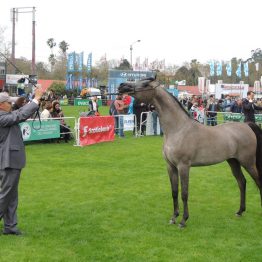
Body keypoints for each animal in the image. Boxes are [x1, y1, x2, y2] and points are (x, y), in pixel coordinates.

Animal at [118, 77, 262, 227]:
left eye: (146, 84)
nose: (122, 86)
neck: (178, 129)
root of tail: (247, 125)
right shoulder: (171, 166)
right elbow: (174, 192)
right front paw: (174, 217)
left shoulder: (183, 166)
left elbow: (184, 193)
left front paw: (183, 220)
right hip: (233, 162)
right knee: (242, 182)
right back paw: (240, 211)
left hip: (248, 163)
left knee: (258, 182)